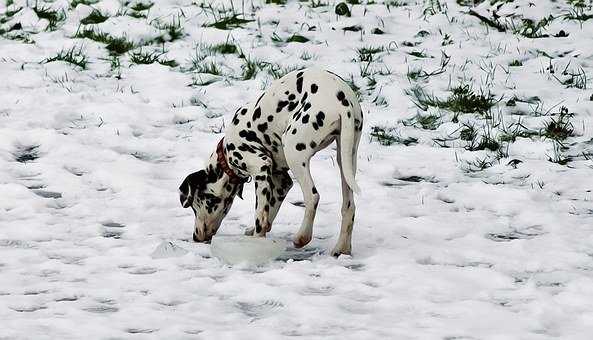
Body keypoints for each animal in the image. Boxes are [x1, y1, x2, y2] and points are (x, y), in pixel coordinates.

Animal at [177, 67, 360, 255]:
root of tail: (342, 99)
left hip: (294, 151)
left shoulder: (260, 167)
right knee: (349, 206)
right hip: (346, 160)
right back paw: (342, 248)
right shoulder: (281, 181)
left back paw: (302, 237)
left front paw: (257, 240)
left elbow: (260, 215)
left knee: (313, 197)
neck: (226, 153)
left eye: (195, 204)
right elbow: (269, 212)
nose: (195, 237)